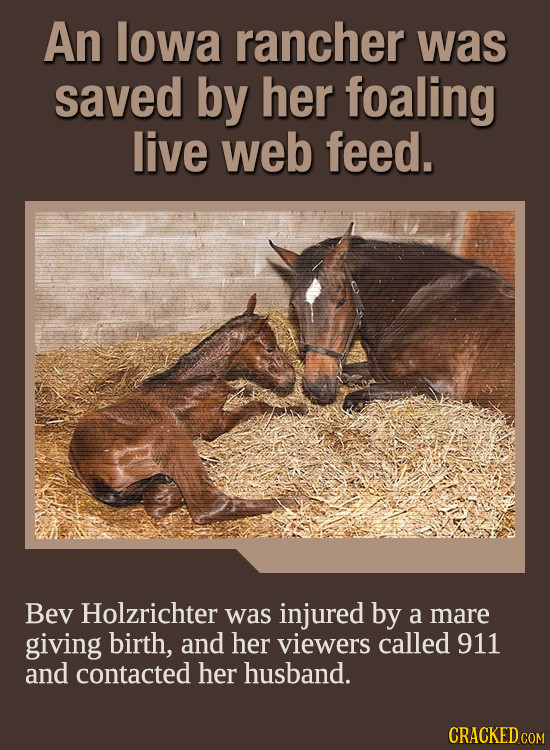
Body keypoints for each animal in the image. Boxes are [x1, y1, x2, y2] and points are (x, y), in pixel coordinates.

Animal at [69, 295, 306, 524]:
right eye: (270, 347)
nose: (291, 378)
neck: (189, 382)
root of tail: (87, 470)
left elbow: (240, 391)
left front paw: (247, 389)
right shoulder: (214, 426)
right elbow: (257, 406)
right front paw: (298, 408)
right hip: (169, 435)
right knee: (206, 505)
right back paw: (295, 499)